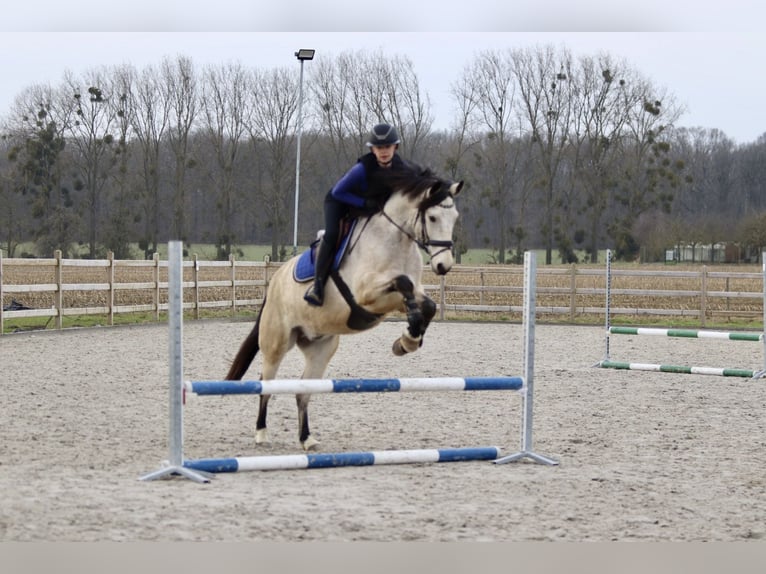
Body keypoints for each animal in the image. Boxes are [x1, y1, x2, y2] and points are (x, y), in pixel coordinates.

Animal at [225, 164, 464, 452]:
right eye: (432, 217)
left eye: (454, 217)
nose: (443, 266)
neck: (395, 241)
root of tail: (274, 283)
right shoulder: (366, 295)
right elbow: (402, 283)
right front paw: (408, 337)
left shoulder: (408, 293)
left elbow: (426, 304)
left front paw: (408, 340)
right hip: (276, 344)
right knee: (266, 384)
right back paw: (261, 433)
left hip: (320, 348)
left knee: (303, 393)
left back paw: (307, 439)